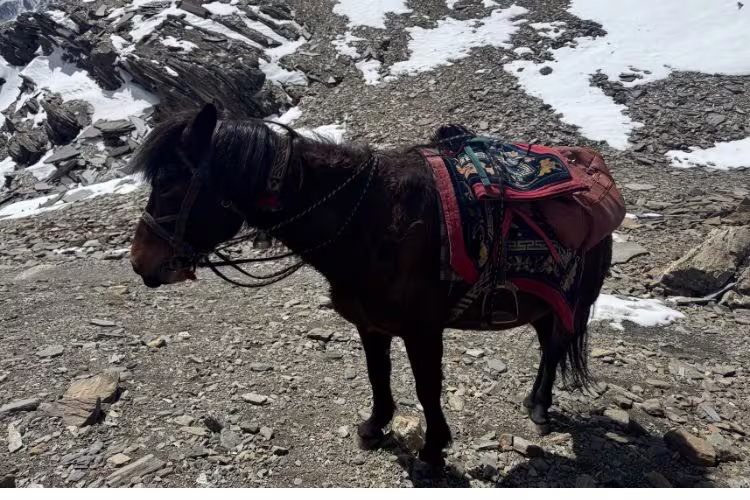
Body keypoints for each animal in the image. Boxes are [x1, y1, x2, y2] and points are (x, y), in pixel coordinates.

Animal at [128, 103, 614, 468]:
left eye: (170, 182)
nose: (139, 262)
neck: (370, 220)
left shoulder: (423, 331)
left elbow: (426, 387)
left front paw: (433, 451)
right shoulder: (370, 324)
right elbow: (377, 375)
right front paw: (375, 426)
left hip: (573, 300)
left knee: (555, 346)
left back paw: (540, 408)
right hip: (542, 303)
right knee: (548, 344)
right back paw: (535, 401)